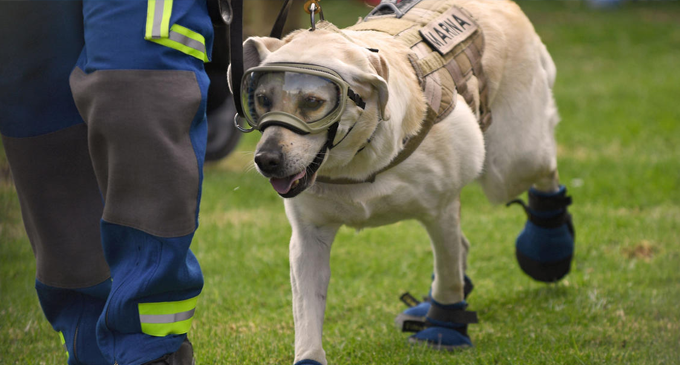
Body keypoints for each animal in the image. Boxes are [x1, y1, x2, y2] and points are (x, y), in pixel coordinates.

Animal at [234, 1, 572, 362]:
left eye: (312, 102)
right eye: (262, 100)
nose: (266, 160)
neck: (360, 160)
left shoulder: (441, 210)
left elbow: (449, 277)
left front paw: (445, 328)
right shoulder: (309, 237)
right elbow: (307, 311)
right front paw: (309, 356)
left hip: (511, 163)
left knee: (543, 173)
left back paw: (548, 248)